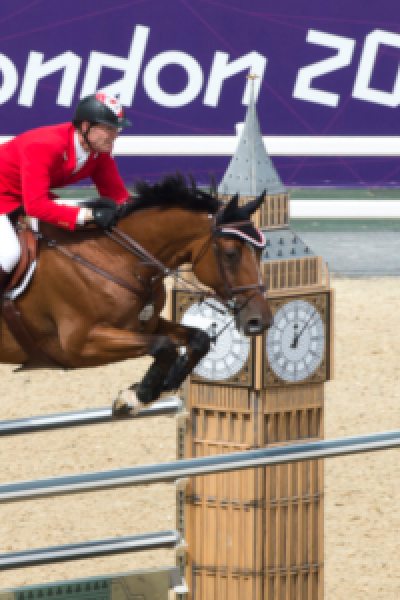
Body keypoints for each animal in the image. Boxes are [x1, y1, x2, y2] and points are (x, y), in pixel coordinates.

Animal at [0, 176, 272, 414]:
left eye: (262, 251)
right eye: (230, 254)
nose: (260, 321)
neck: (116, 258)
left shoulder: (145, 324)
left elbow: (198, 339)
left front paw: (156, 388)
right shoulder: (78, 345)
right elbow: (164, 346)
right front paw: (137, 396)